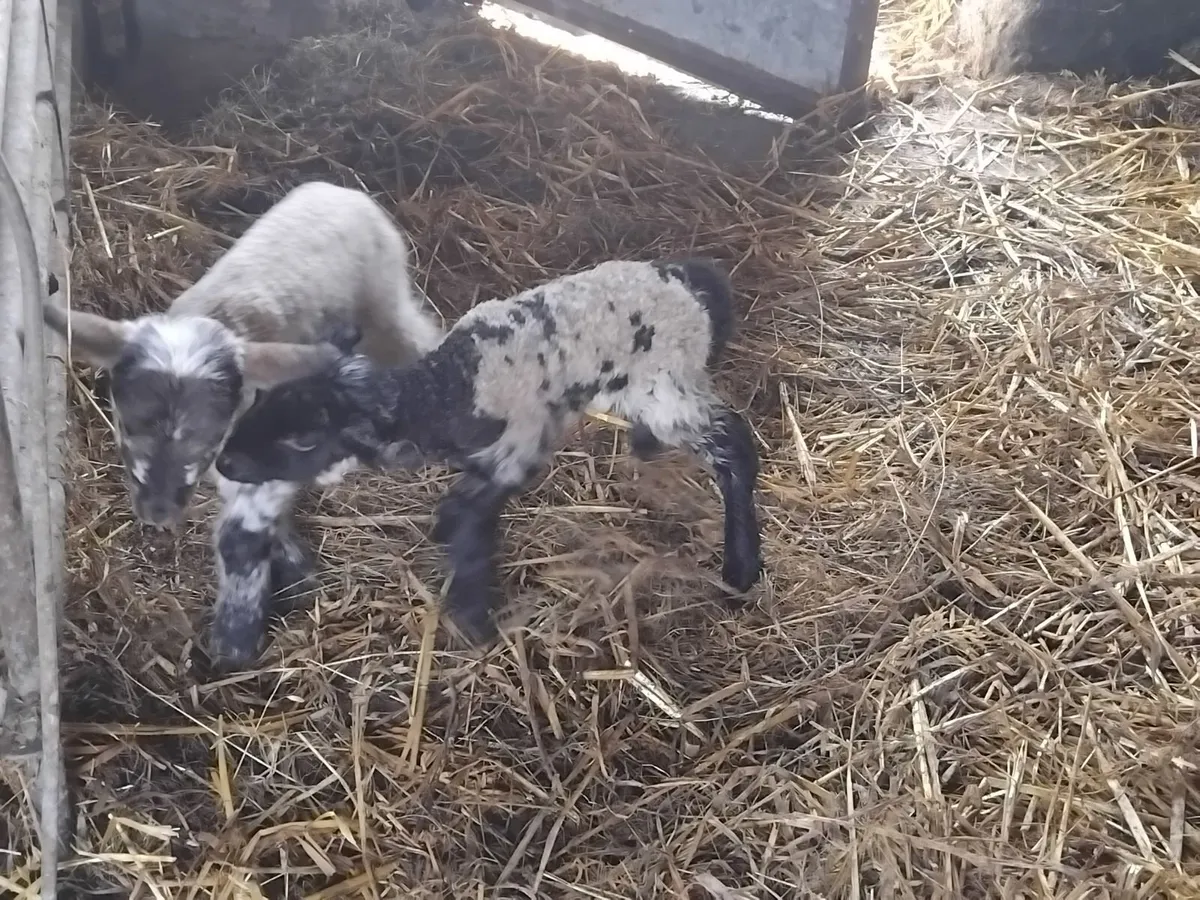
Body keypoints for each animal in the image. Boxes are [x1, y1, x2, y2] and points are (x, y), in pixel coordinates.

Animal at [44, 180, 446, 669]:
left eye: (209, 439)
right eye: (124, 427)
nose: (158, 512)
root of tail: (338, 188)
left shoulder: (264, 454)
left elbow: (243, 536)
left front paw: (234, 642)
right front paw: (293, 569)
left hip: (385, 295)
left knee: (417, 336)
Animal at [214, 257, 763, 644]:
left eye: (304, 438)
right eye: (260, 400)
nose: (224, 461)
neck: (447, 389)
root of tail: (691, 283)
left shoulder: (514, 447)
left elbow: (467, 517)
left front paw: (472, 619)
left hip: (664, 381)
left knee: (734, 444)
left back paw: (741, 569)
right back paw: (645, 446)